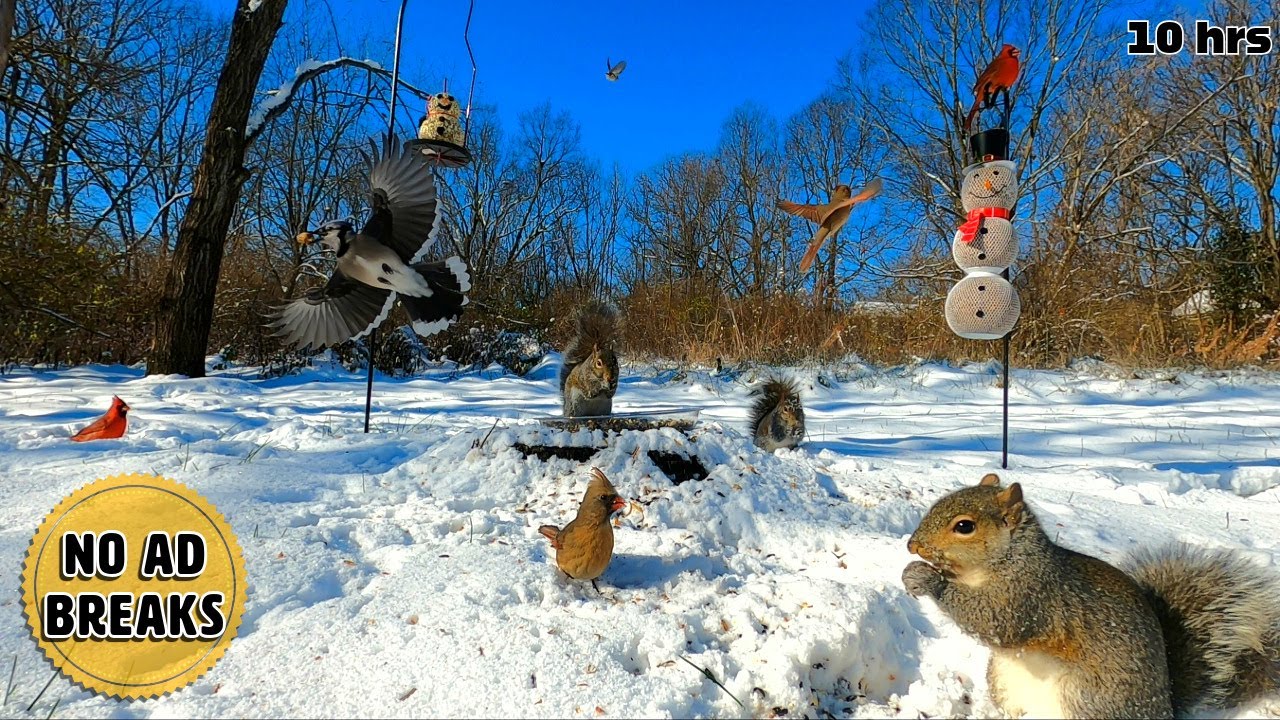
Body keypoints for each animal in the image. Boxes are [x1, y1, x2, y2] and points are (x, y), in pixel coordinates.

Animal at [902, 473, 1280, 719]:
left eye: (964, 526)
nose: (913, 545)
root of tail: (1165, 709)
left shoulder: (1030, 594)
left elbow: (995, 621)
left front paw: (926, 578)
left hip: (1087, 697)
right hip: (1003, 682)